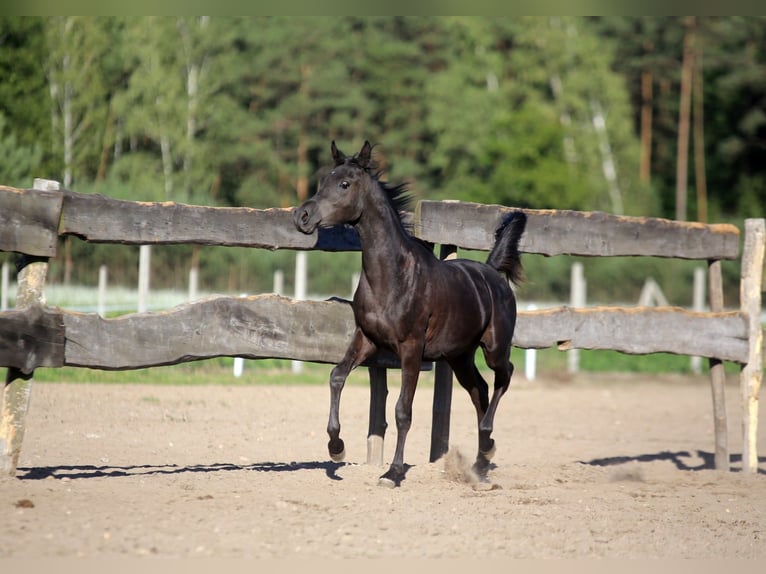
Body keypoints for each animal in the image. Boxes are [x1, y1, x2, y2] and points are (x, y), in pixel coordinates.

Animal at [293, 140, 527, 487]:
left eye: (344, 184)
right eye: (323, 181)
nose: (302, 216)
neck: (393, 277)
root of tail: (493, 273)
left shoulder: (412, 349)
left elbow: (403, 410)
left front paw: (393, 472)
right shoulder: (366, 339)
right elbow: (337, 376)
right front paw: (336, 448)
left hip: (494, 347)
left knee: (504, 375)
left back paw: (487, 445)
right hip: (459, 356)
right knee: (479, 390)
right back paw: (481, 460)